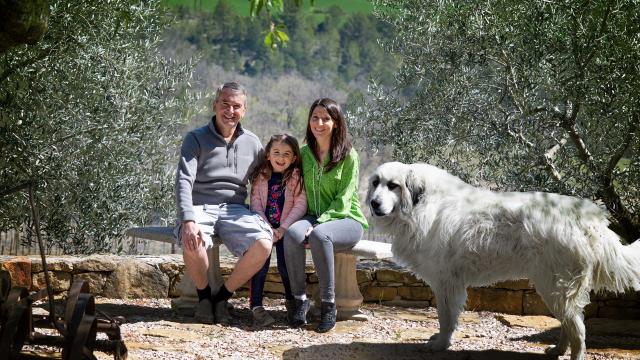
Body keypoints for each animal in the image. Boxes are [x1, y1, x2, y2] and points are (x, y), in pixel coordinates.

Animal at [364, 162, 640, 360]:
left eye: (393, 185)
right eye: (376, 183)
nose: (373, 203)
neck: (422, 204)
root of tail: (589, 218)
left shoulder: (446, 283)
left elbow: (445, 317)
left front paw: (441, 344)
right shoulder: (451, 283)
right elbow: (449, 317)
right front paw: (443, 341)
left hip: (555, 286)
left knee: (578, 329)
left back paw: (573, 355)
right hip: (554, 287)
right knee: (570, 323)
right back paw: (557, 350)